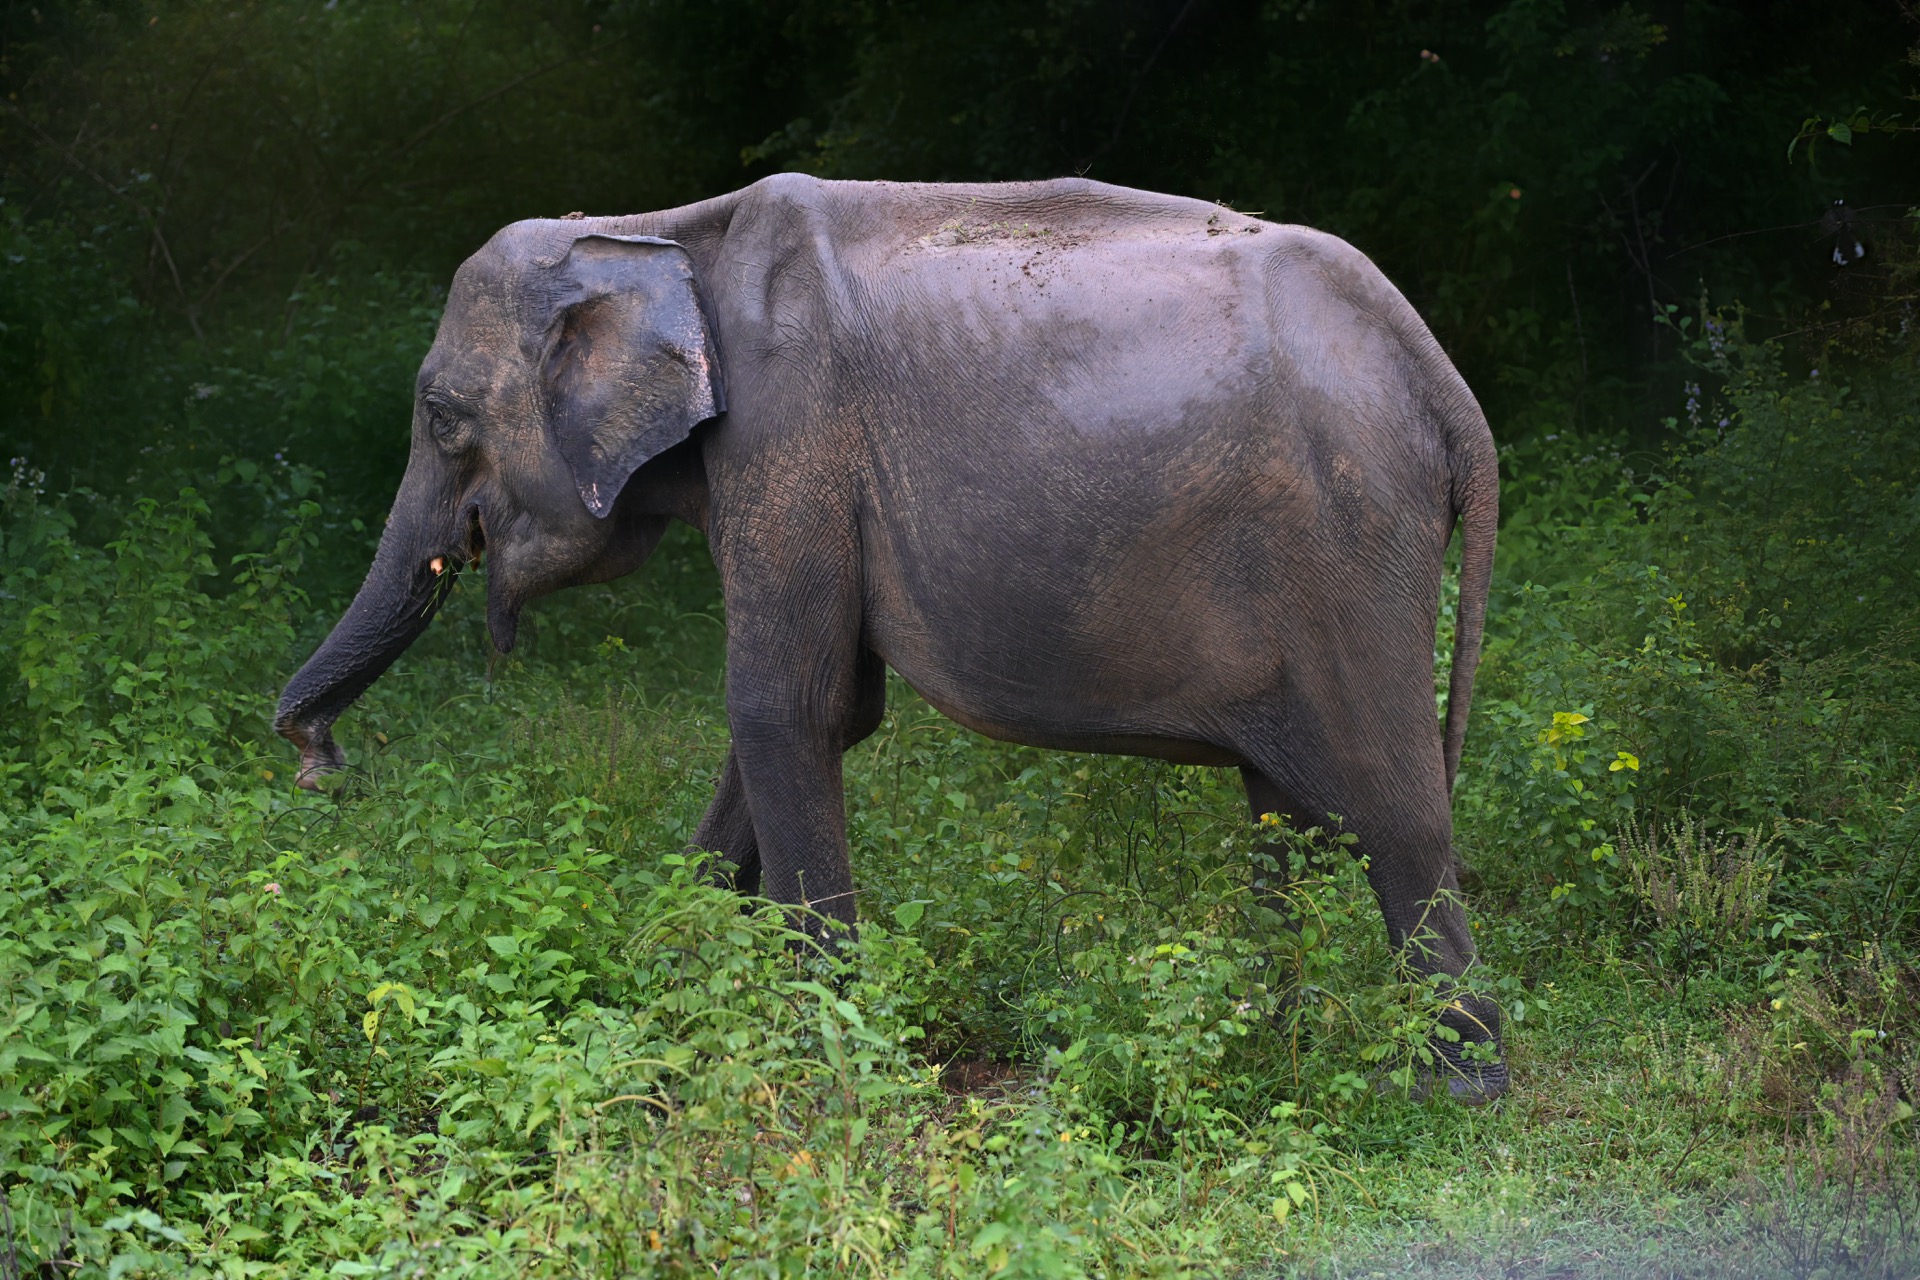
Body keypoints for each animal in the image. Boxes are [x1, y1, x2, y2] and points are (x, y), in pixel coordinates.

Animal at [275, 173, 1505, 1102]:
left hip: (1348, 551)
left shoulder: (789, 435)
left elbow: (785, 710)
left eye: (442, 418)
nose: (317, 760)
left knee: (1396, 816)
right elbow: (821, 715)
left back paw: (1452, 1089)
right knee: (1285, 814)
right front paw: (668, 971)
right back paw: (1258, 1035)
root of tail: (1451, 393)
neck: (659, 230)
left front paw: (819, 1055)